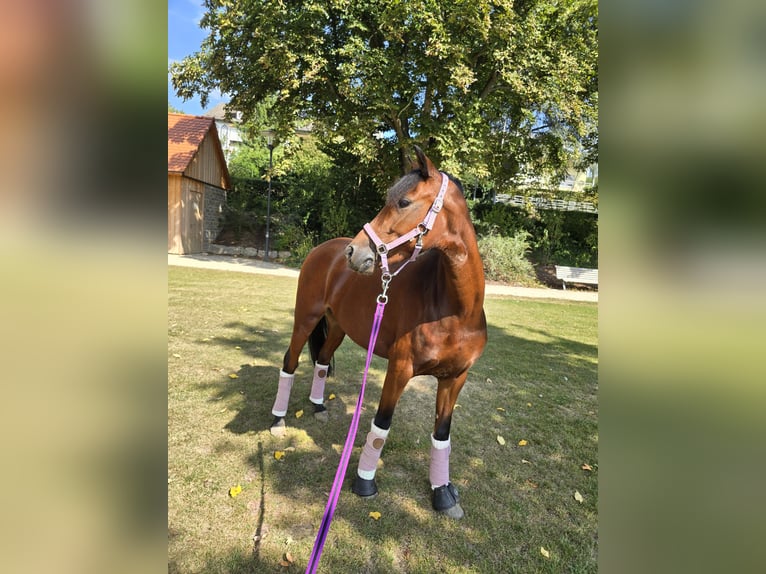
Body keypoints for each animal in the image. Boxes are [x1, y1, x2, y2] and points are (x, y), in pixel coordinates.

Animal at [270, 146, 486, 520]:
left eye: (404, 201)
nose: (355, 253)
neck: (456, 311)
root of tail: (325, 248)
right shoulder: (399, 369)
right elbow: (381, 425)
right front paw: (364, 482)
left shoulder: (455, 378)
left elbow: (442, 435)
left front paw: (443, 493)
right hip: (306, 318)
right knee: (290, 361)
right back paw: (278, 420)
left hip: (338, 327)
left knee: (322, 361)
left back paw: (318, 407)